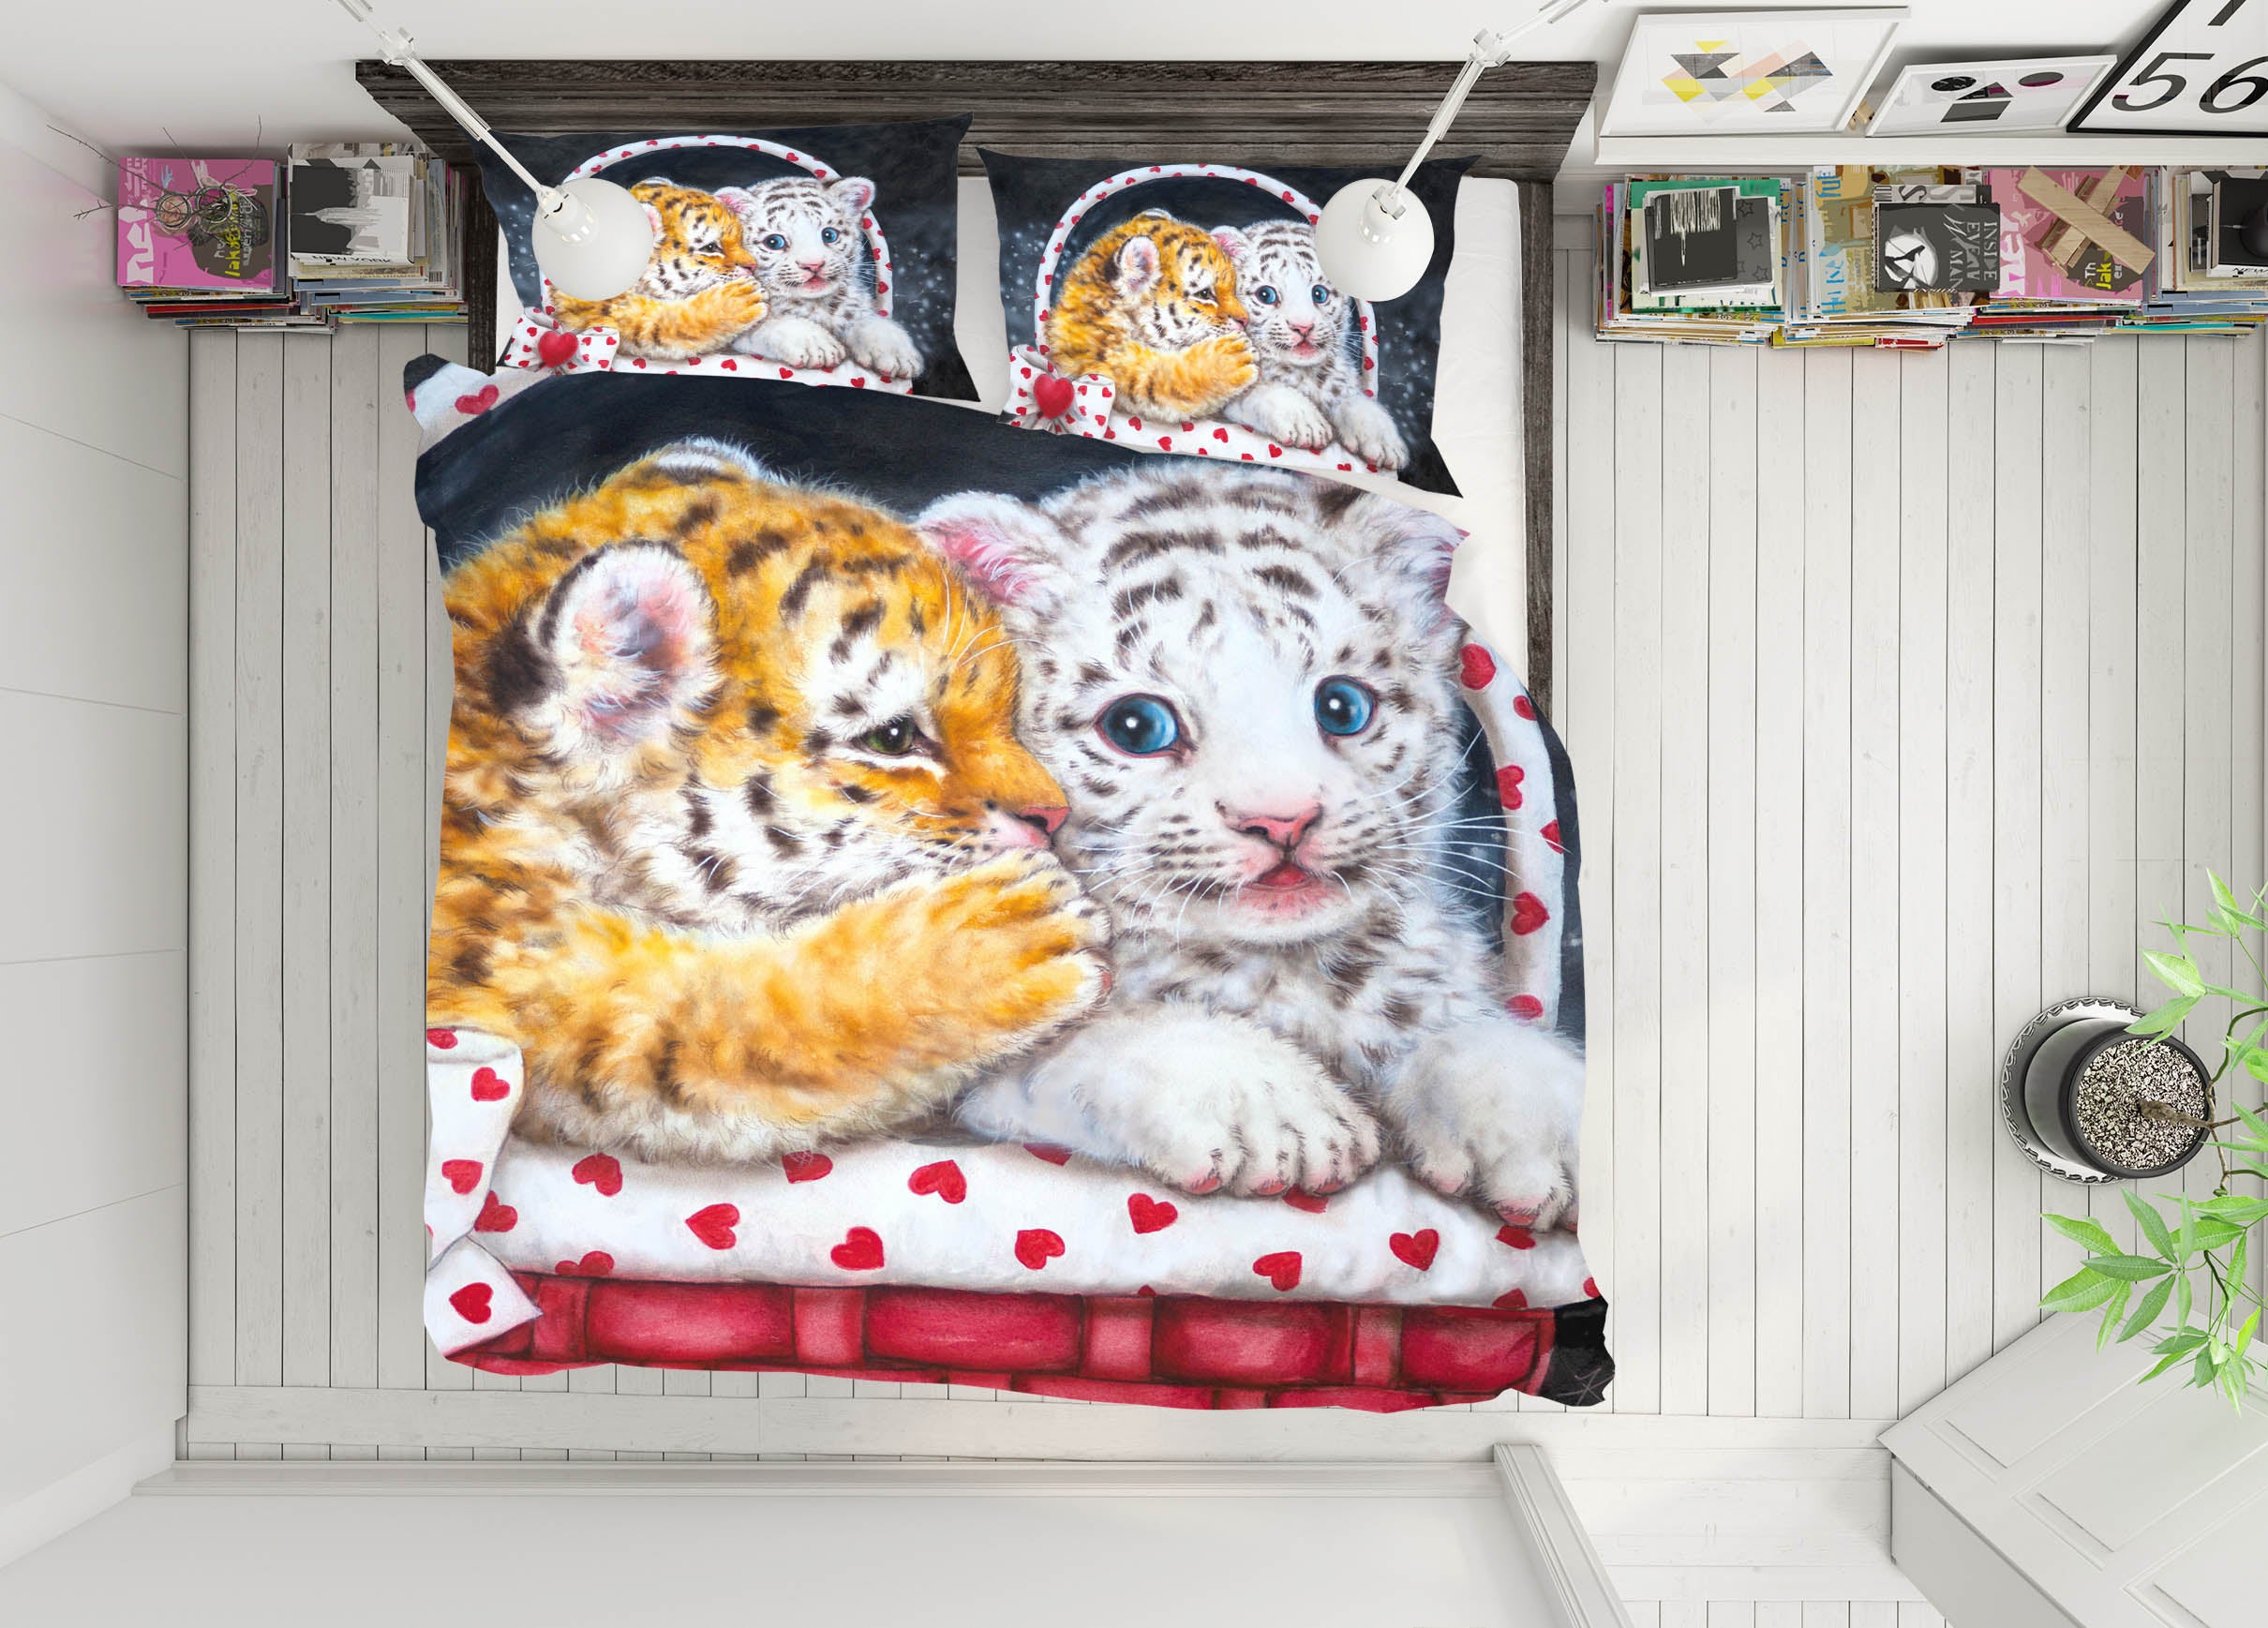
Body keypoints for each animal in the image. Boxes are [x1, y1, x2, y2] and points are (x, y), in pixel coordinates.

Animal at [550, 181, 769, 363]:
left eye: (740, 240)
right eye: (710, 247)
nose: (752, 266)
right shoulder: (605, 313)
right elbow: (664, 322)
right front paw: (740, 300)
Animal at [716, 176, 925, 381]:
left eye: (829, 234)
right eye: (774, 242)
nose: (814, 265)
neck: (819, 305)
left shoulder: (854, 309)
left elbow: (865, 320)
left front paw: (897, 353)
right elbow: (768, 323)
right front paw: (818, 346)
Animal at [1220, 221, 1409, 471]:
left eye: (1319, 293)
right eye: (1266, 294)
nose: (1303, 327)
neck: (1306, 374)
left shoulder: (1341, 384)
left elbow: (1353, 400)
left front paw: (1383, 441)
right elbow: (1260, 389)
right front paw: (1305, 424)